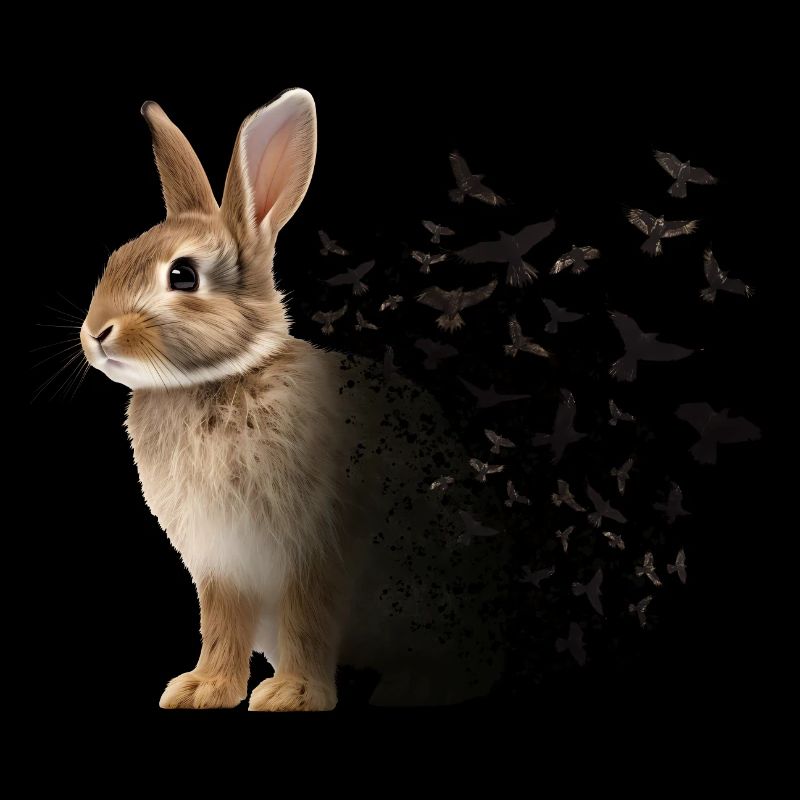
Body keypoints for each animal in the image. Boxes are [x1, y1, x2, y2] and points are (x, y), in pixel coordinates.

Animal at [80, 90, 505, 711]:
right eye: (115, 259)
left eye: (182, 275)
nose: (95, 334)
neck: (219, 379)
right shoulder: (222, 561)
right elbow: (222, 624)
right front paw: (202, 689)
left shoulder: (317, 545)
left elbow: (309, 617)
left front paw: (293, 696)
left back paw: (415, 686)